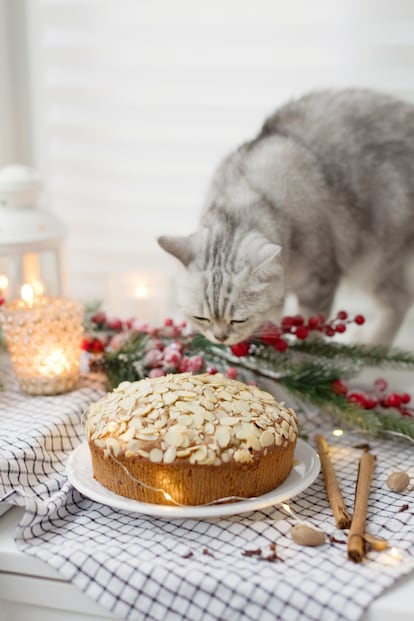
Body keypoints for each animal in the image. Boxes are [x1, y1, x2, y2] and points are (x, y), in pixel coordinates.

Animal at [158, 89, 414, 346]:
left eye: (238, 320)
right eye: (201, 318)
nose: (220, 338)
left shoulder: (319, 281)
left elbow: (312, 328)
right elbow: (273, 315)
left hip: (373, 260)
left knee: (400, 299)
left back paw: (373, 342)